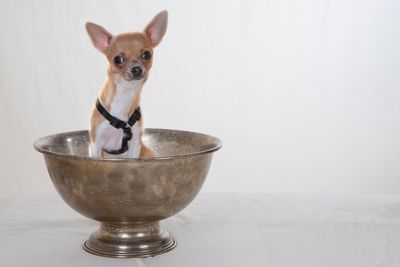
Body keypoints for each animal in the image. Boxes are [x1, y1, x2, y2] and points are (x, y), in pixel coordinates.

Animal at [86, 10, 168, 158]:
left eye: (146, 55)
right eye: (118, 59)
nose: (136, 69)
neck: (125, 95)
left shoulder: (135, 144)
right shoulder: (96, 145)